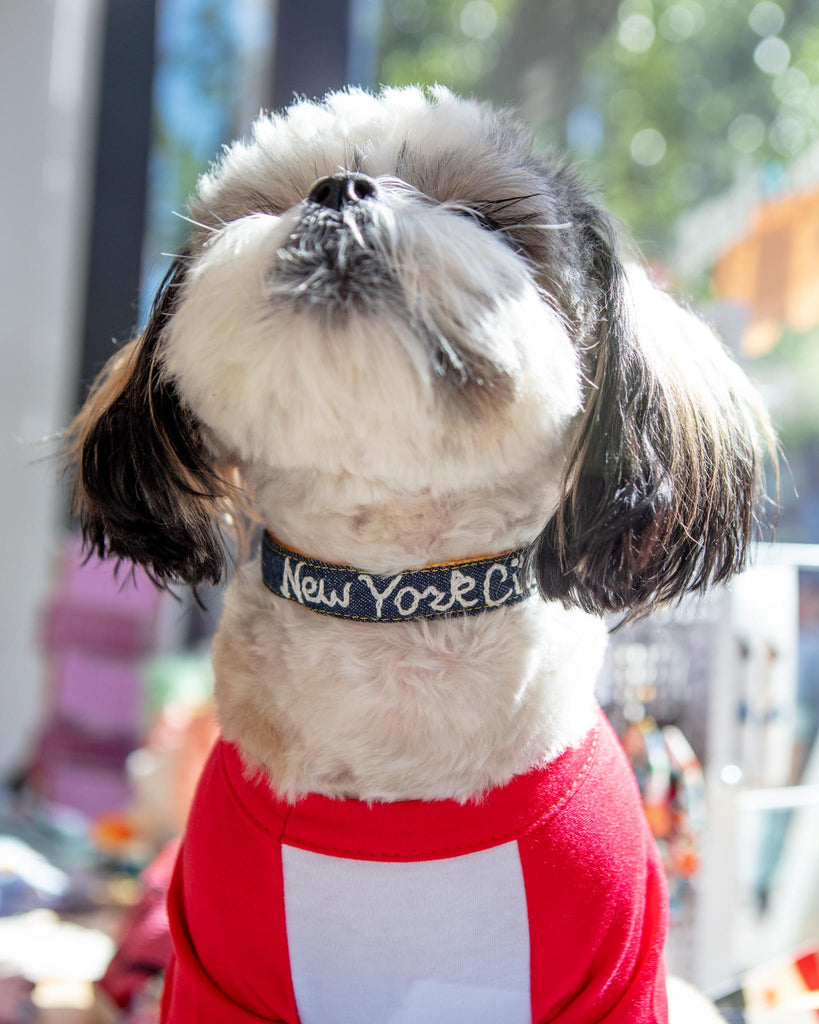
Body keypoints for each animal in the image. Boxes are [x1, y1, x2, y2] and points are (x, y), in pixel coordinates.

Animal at [65, 88, 773, 1024]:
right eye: (272, 200)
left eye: (482, 219)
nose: (339, 189)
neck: (397, 599)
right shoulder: (213, 973)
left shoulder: (618, 976)